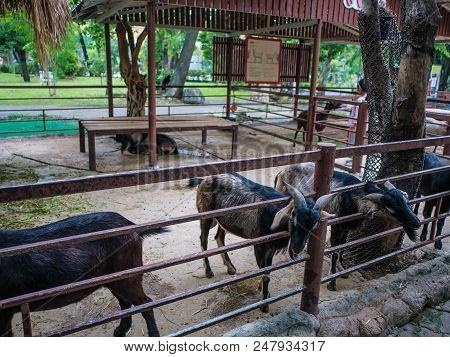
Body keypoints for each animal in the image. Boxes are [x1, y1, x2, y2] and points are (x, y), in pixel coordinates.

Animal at [0, 211, 165, 336]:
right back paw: (119, 332)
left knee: (146, 303)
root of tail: (134, 228)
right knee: (125, 303)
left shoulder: (4, 314)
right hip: (114, 279)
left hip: (128, 275)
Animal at [190, 174, 334, 310]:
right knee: (203, 240)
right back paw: (208, 271)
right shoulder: (259, 246)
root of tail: (205, 179)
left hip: (223, 221)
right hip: (205, 216)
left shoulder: (271, 248)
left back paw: (230, 268)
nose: (298, 247)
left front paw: (264, 292)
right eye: (293, 217)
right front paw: (264, 303)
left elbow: (268, 270)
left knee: (219, 237)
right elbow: (263, 271)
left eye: (315, 225)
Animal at [274, 164, 422, 292]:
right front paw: (332, 282)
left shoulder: (346, 227)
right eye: (390, 210)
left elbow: (343, 247)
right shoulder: (336, 225)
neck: (349, 196)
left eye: (406, 201)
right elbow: (335, 251)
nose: (417, 223)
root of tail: (281, 172)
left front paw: (343, 269)